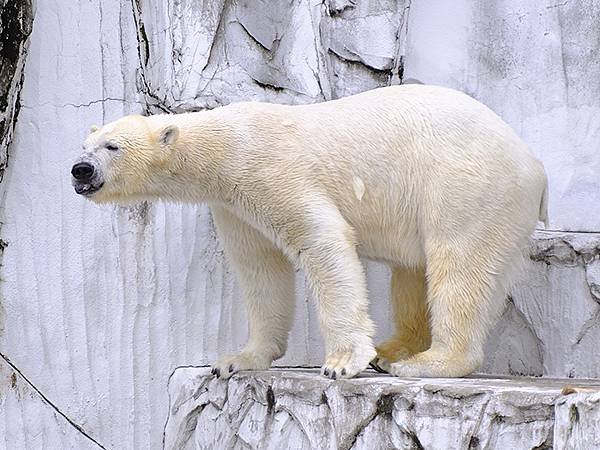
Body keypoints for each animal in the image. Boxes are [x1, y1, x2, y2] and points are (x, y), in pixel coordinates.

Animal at [71, 84, 548, 380]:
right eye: (85, 146)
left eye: (112, 146)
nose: (80, 170)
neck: (225, 144)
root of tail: (534, 164)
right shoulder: (232, 204)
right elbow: (261, 268)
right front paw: (237, 360)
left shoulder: (270, 170)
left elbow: (321, 243)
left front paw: (342, 362)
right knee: (412, 271)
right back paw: (395, 350)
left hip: (467, 184)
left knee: (459, 266)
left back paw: (424, 363)